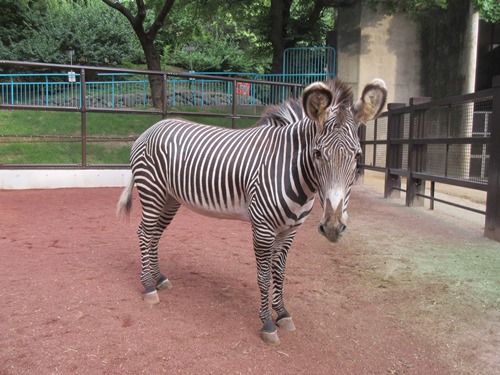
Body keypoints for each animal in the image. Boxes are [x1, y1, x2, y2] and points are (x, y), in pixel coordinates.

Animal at [117, 77, 386, 346]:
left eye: (358, 155)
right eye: (318, 153)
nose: (332, 227)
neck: (289, 169)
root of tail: (154, 126)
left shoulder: (289, 231)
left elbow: (280, 273)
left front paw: (283, 313)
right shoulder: (263, 228)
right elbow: (264, 276)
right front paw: (267, 324)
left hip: (170, 199)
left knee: (154, 235)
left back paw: (159, 279)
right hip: (152, 191)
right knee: (144, 233)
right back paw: (148, 287)